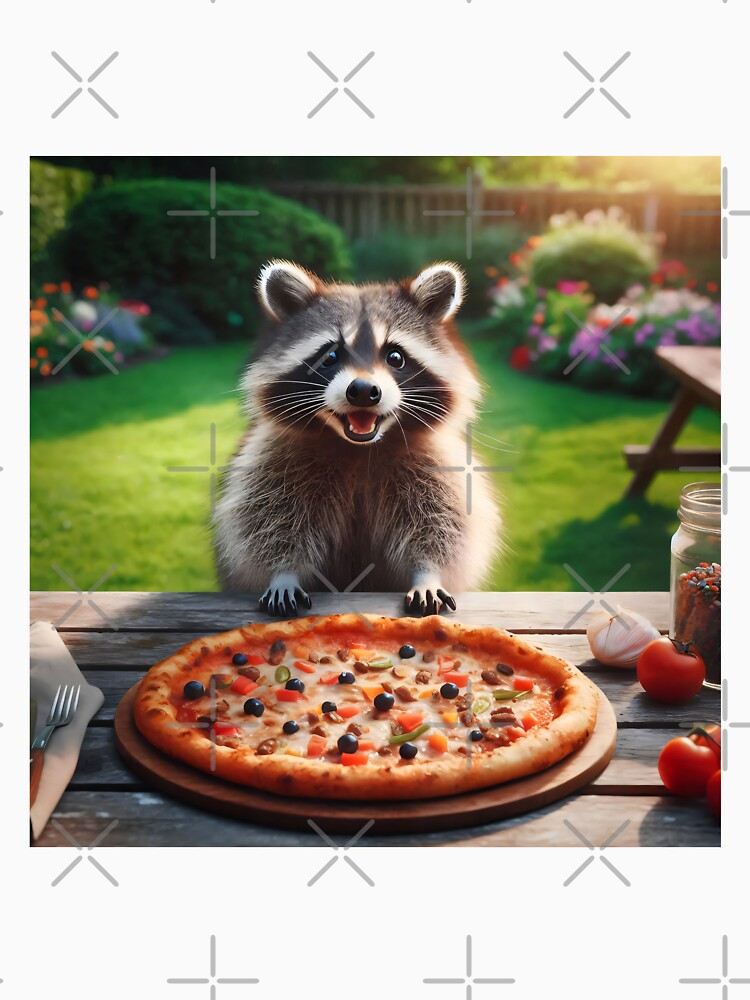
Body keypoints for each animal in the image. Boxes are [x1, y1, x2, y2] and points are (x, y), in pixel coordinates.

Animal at [214, 260, 502, 617]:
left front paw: (427, 573)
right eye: (330, 356)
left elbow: (440, 524)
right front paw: (283, 573)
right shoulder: (276, 461)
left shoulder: (434, 466)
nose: (363, 391)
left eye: (395, 357)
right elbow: (267, 521)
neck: (359, 449)